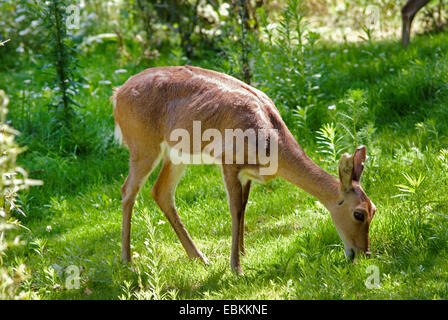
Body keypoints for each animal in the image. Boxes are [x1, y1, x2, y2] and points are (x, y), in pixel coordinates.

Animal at [111, 65, 374, 276]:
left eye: (373, 210)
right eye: (358, 214)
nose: (363, 254)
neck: (270, 145)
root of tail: (116, 94)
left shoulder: (247, 173)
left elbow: (245, 207)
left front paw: (244, 252)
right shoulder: (228, 160)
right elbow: (235, 210)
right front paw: (235, 267)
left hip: (176, 153)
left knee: (161, 192)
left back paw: (198, 257)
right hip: (143, 146)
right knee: (127, 190)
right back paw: (127, 259)